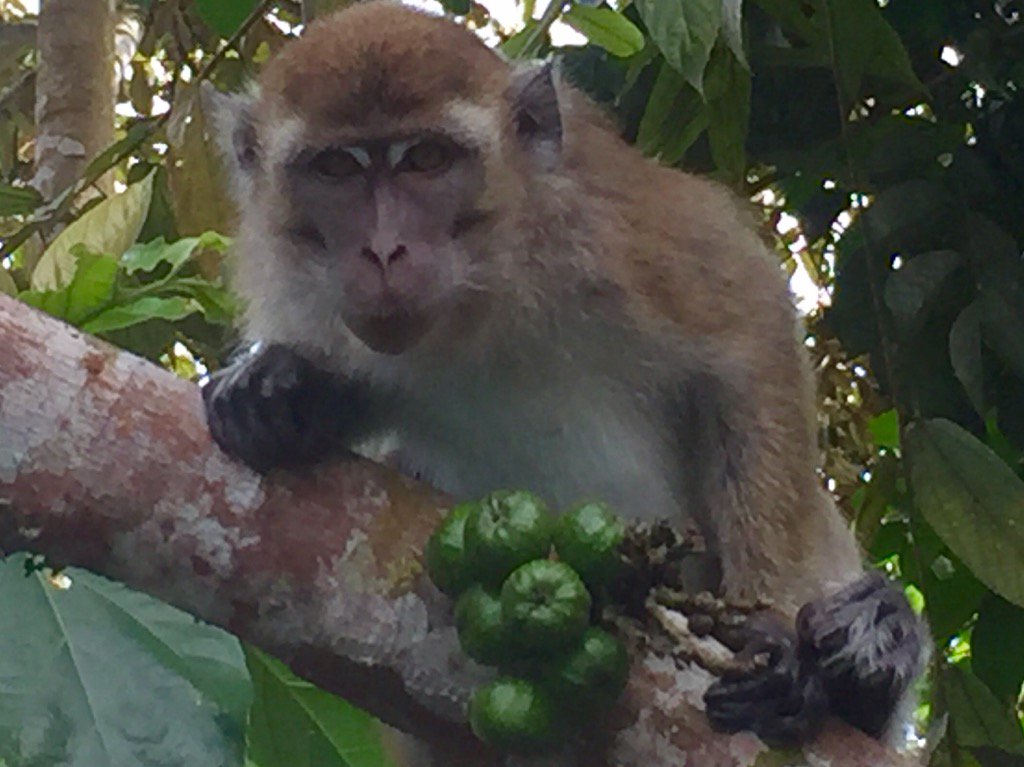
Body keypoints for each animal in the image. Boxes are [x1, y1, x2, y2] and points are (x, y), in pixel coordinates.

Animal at [201, 1, 926, 748]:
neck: (479, 310)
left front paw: (777, 631)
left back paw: (872, 653)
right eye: (337, 169)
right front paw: (284, 389)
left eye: (426, 159)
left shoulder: (617, 229)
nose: (382, 250)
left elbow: (752, 334)